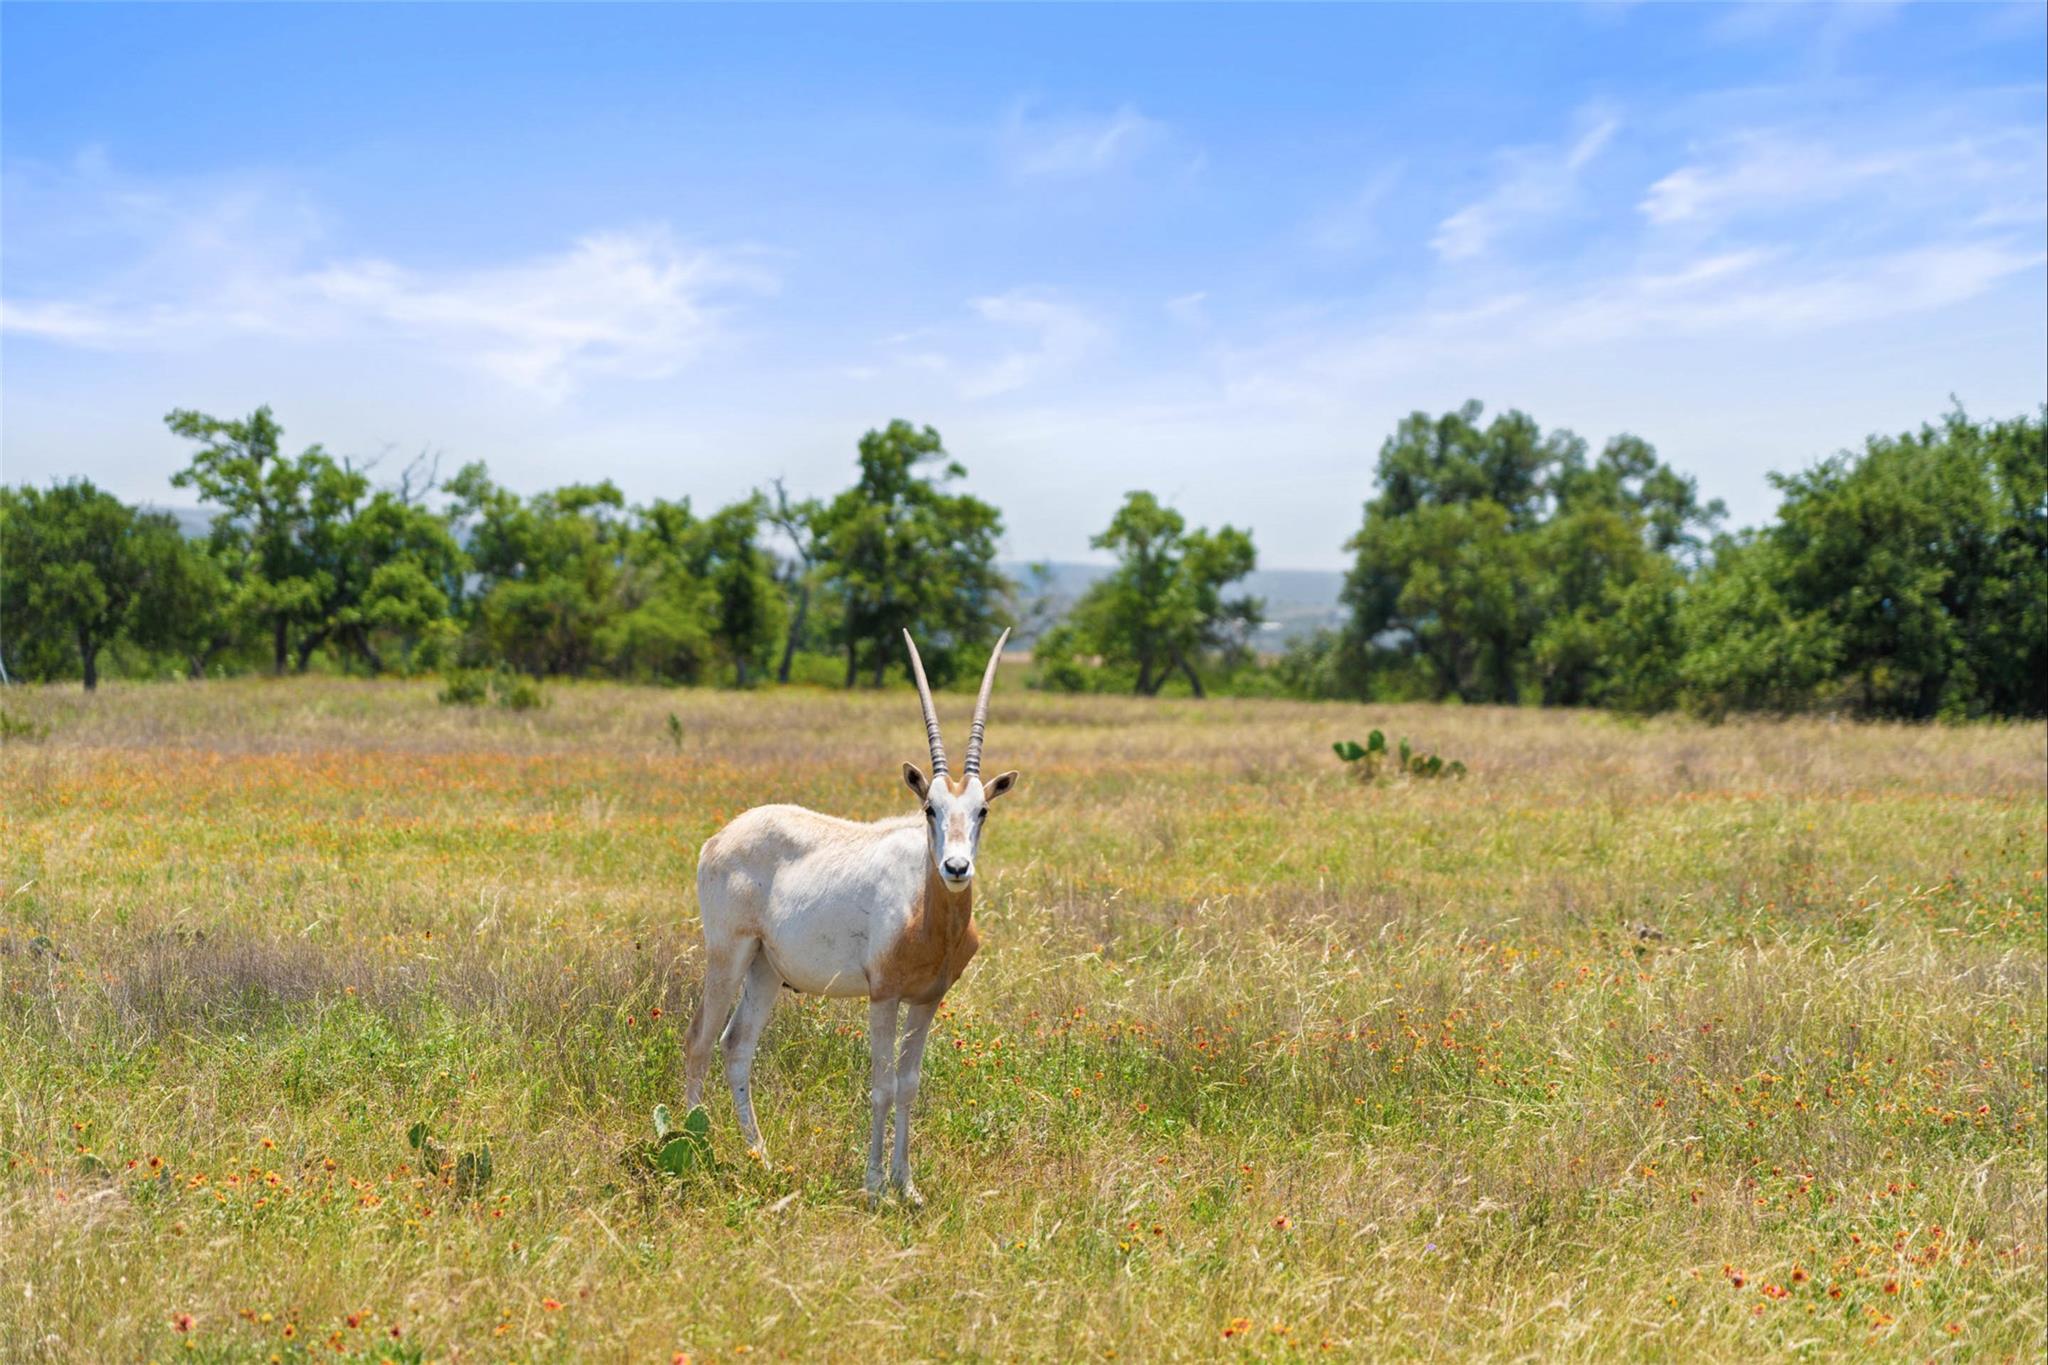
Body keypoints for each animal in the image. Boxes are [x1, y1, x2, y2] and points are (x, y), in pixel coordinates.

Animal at [684, 628, 1019, 1206]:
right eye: (929, 809)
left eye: (982, 810)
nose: (956, 868)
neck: (925, 914)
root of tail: (720, 837)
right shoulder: (882, 996)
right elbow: (881, 1085)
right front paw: (874, 1187)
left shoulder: (927, 1000)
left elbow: (909, 1085)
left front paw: (908, 1187)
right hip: (727, 954)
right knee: (700, 1041)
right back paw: (688, 1151)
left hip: (766, 969)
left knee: (736, 1045)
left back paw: (763, 1159)